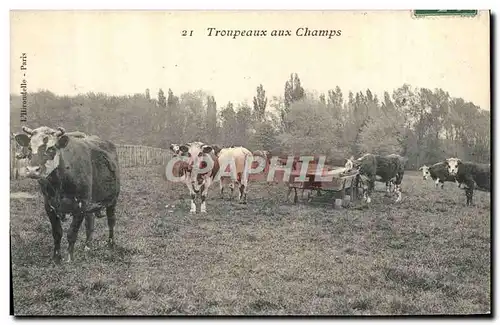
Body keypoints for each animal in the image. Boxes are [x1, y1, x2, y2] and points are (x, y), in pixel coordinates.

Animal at [13, 125, 120, 262]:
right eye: (30, 148)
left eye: (51, 148)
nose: (32, 170)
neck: (58, 185)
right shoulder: (49, 206)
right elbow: (57, 233)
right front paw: (56, 258)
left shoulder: (81, 206)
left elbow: (72, 233)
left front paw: (69, 258)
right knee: (89, 224)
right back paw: (87, 246)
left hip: (113, 200)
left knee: (111, 221)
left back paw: (111, 244)